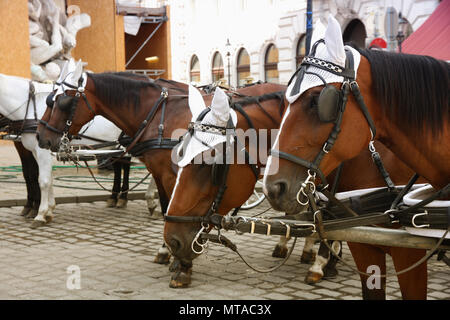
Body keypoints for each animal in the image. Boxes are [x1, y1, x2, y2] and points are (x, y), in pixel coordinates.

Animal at [264, 15, 446, 300]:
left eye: (317, 101)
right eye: (284, 103)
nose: (272, 188)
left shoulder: (409, 252)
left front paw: (320, 263)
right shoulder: (362, 243)